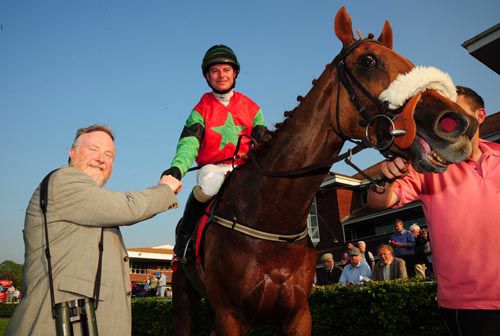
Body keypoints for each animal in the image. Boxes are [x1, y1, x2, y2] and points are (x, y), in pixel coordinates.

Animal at [174, 5, 478, 336]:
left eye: (408, 61)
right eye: (368, 61)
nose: (458, 124)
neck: (271, 219)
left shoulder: (298, 314)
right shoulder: (230, 316)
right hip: (185, 299)